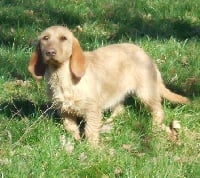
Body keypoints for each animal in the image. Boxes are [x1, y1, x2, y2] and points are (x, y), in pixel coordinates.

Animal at [28, 25, 189, 147]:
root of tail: (146, 55)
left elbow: (90, 131)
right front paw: (77, 141)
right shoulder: (64, 111)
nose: (50, 52)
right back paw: (109, 122)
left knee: (158, 111)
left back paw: (155, 126)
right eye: (45, 38)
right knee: (121, 109)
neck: (62, 76)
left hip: (146, 92)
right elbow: (71, 128)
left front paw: (92, 149)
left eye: (64, 38)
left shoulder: (92, 110)